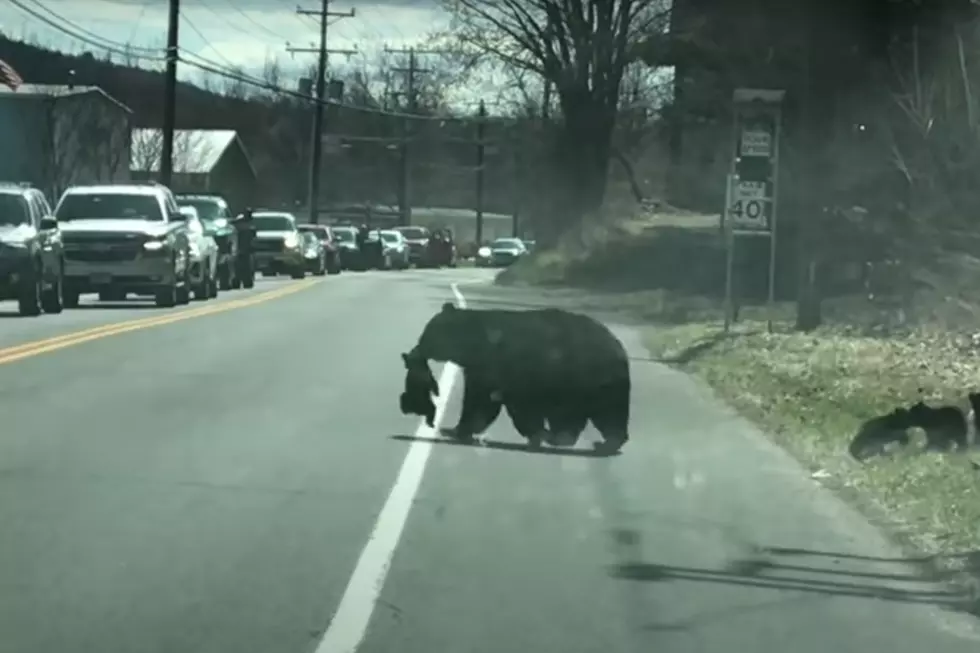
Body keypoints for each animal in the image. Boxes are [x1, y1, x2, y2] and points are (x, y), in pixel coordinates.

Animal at [404, 302, 628, 450]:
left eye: (426, 334)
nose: (414, 351)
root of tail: (618, 345)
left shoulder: (506, 366)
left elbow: (503, 402)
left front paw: (536, 433)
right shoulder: (482, 368)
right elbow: (481, 400)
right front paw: (457, 430)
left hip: (586, 377)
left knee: (600, 411)